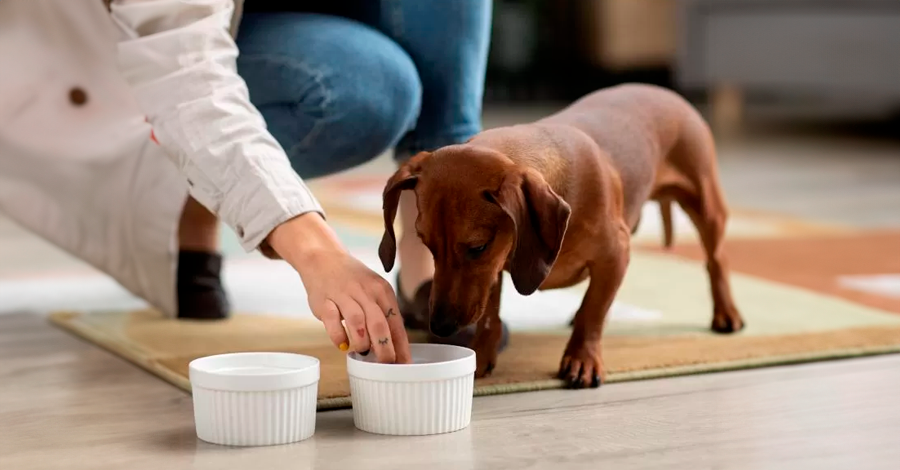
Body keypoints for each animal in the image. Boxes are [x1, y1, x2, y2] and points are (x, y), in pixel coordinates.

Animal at [376, 84, 740, 390]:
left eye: (478, 246)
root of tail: (663, 90)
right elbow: (491, 316)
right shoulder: (496, 270)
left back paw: (727, 313)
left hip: (705, 202)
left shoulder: (615, 255)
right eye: (427, 244)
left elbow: (593, 313)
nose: (440, 327)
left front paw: (583, 359)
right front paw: (482, 353)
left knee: (716, 259)